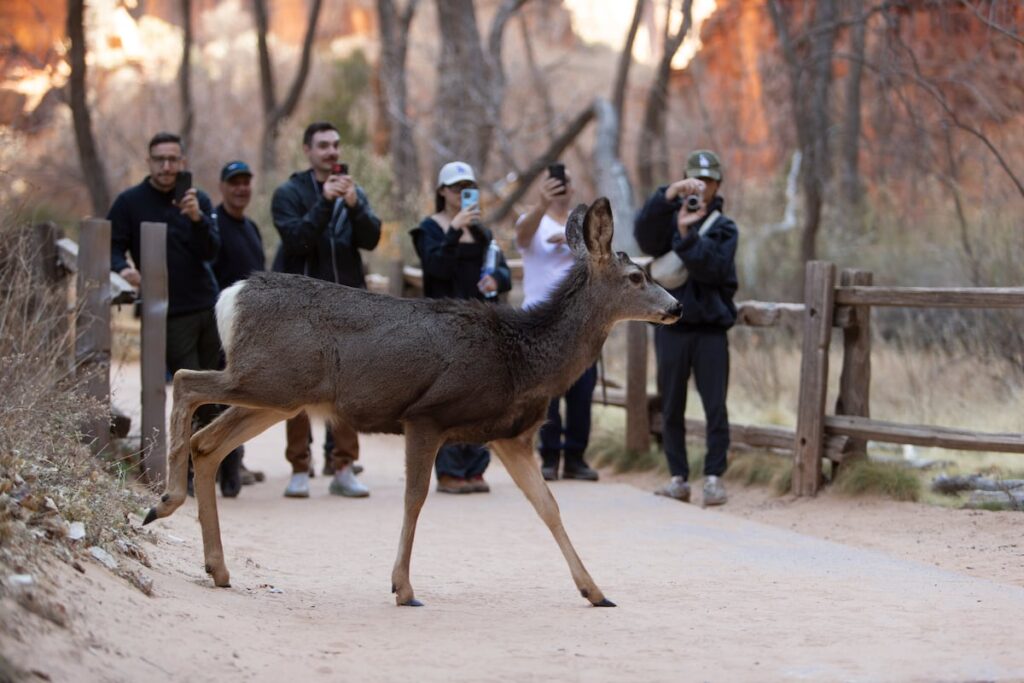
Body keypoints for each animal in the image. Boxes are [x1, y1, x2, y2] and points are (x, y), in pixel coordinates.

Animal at [142, 197, 682, 607]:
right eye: (637, 277)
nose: (677, 307)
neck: (524, 359)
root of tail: (230, 295)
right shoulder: (427, 415)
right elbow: (415, 498)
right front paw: (403, 588)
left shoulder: (509, 436)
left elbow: (547, 506)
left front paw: (596, 591)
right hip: (266, 378)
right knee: (186, 381)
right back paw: (164, 501)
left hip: (279, 396)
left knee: (208, 444)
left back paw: (217, 567)